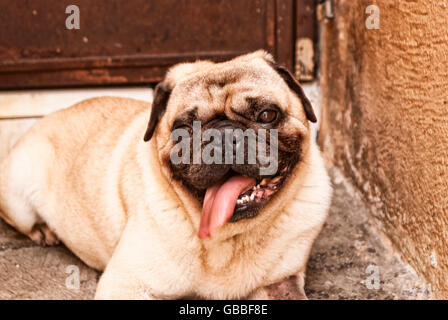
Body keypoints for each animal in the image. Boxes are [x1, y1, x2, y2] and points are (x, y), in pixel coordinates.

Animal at [0, 50, 328, 300]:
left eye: (267, 115)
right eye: (183, 128)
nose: (223, 134)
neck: (230, 238)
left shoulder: (283, 282)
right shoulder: (126, 285)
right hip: (19, 199)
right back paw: (44, 231)